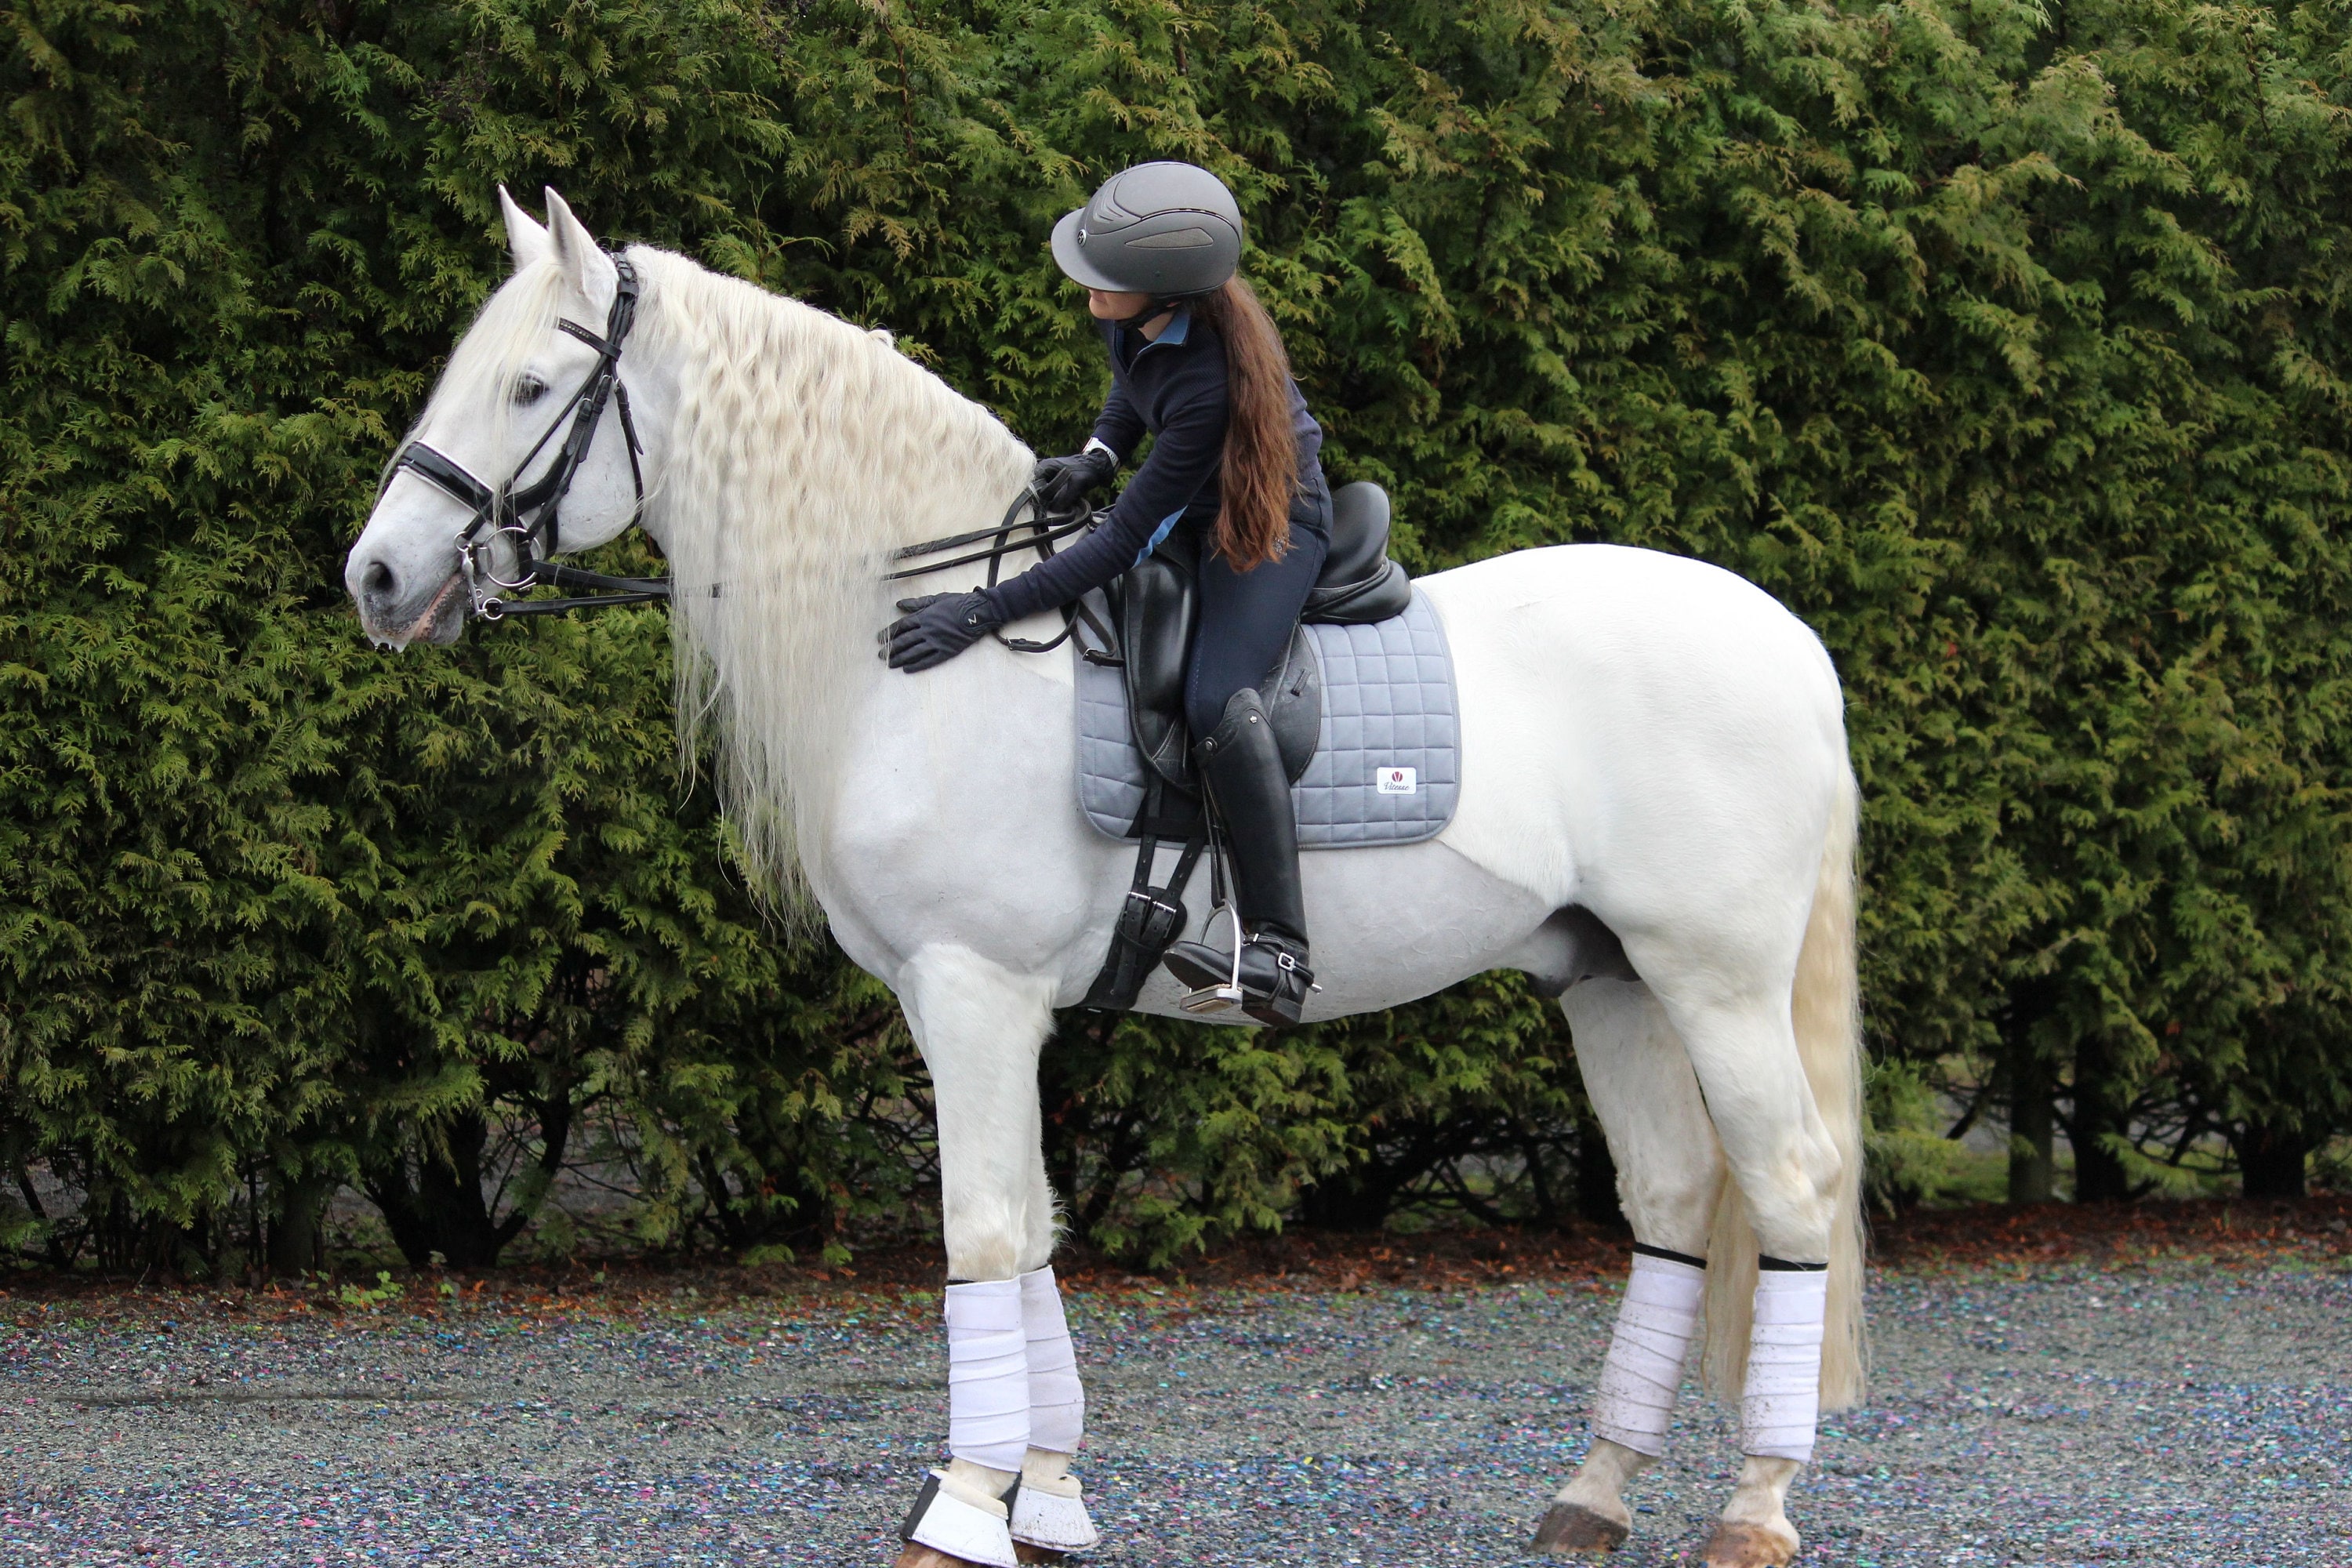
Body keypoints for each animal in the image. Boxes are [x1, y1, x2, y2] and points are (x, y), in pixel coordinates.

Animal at [345, 188, 1866, 1568]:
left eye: (531, 386)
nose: (377, 578)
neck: (918, 638)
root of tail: (1790, 642)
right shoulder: (963, 1003)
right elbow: (1032, 1233)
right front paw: (1049, 1498)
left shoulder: (975, 993)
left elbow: (981, 1233)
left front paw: (963, 1510)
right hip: (1608, 982)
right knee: (1672, 1205)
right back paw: (1594, 1496)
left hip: (1715, 986)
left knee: (1791, 1191)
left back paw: (1755, 1512)